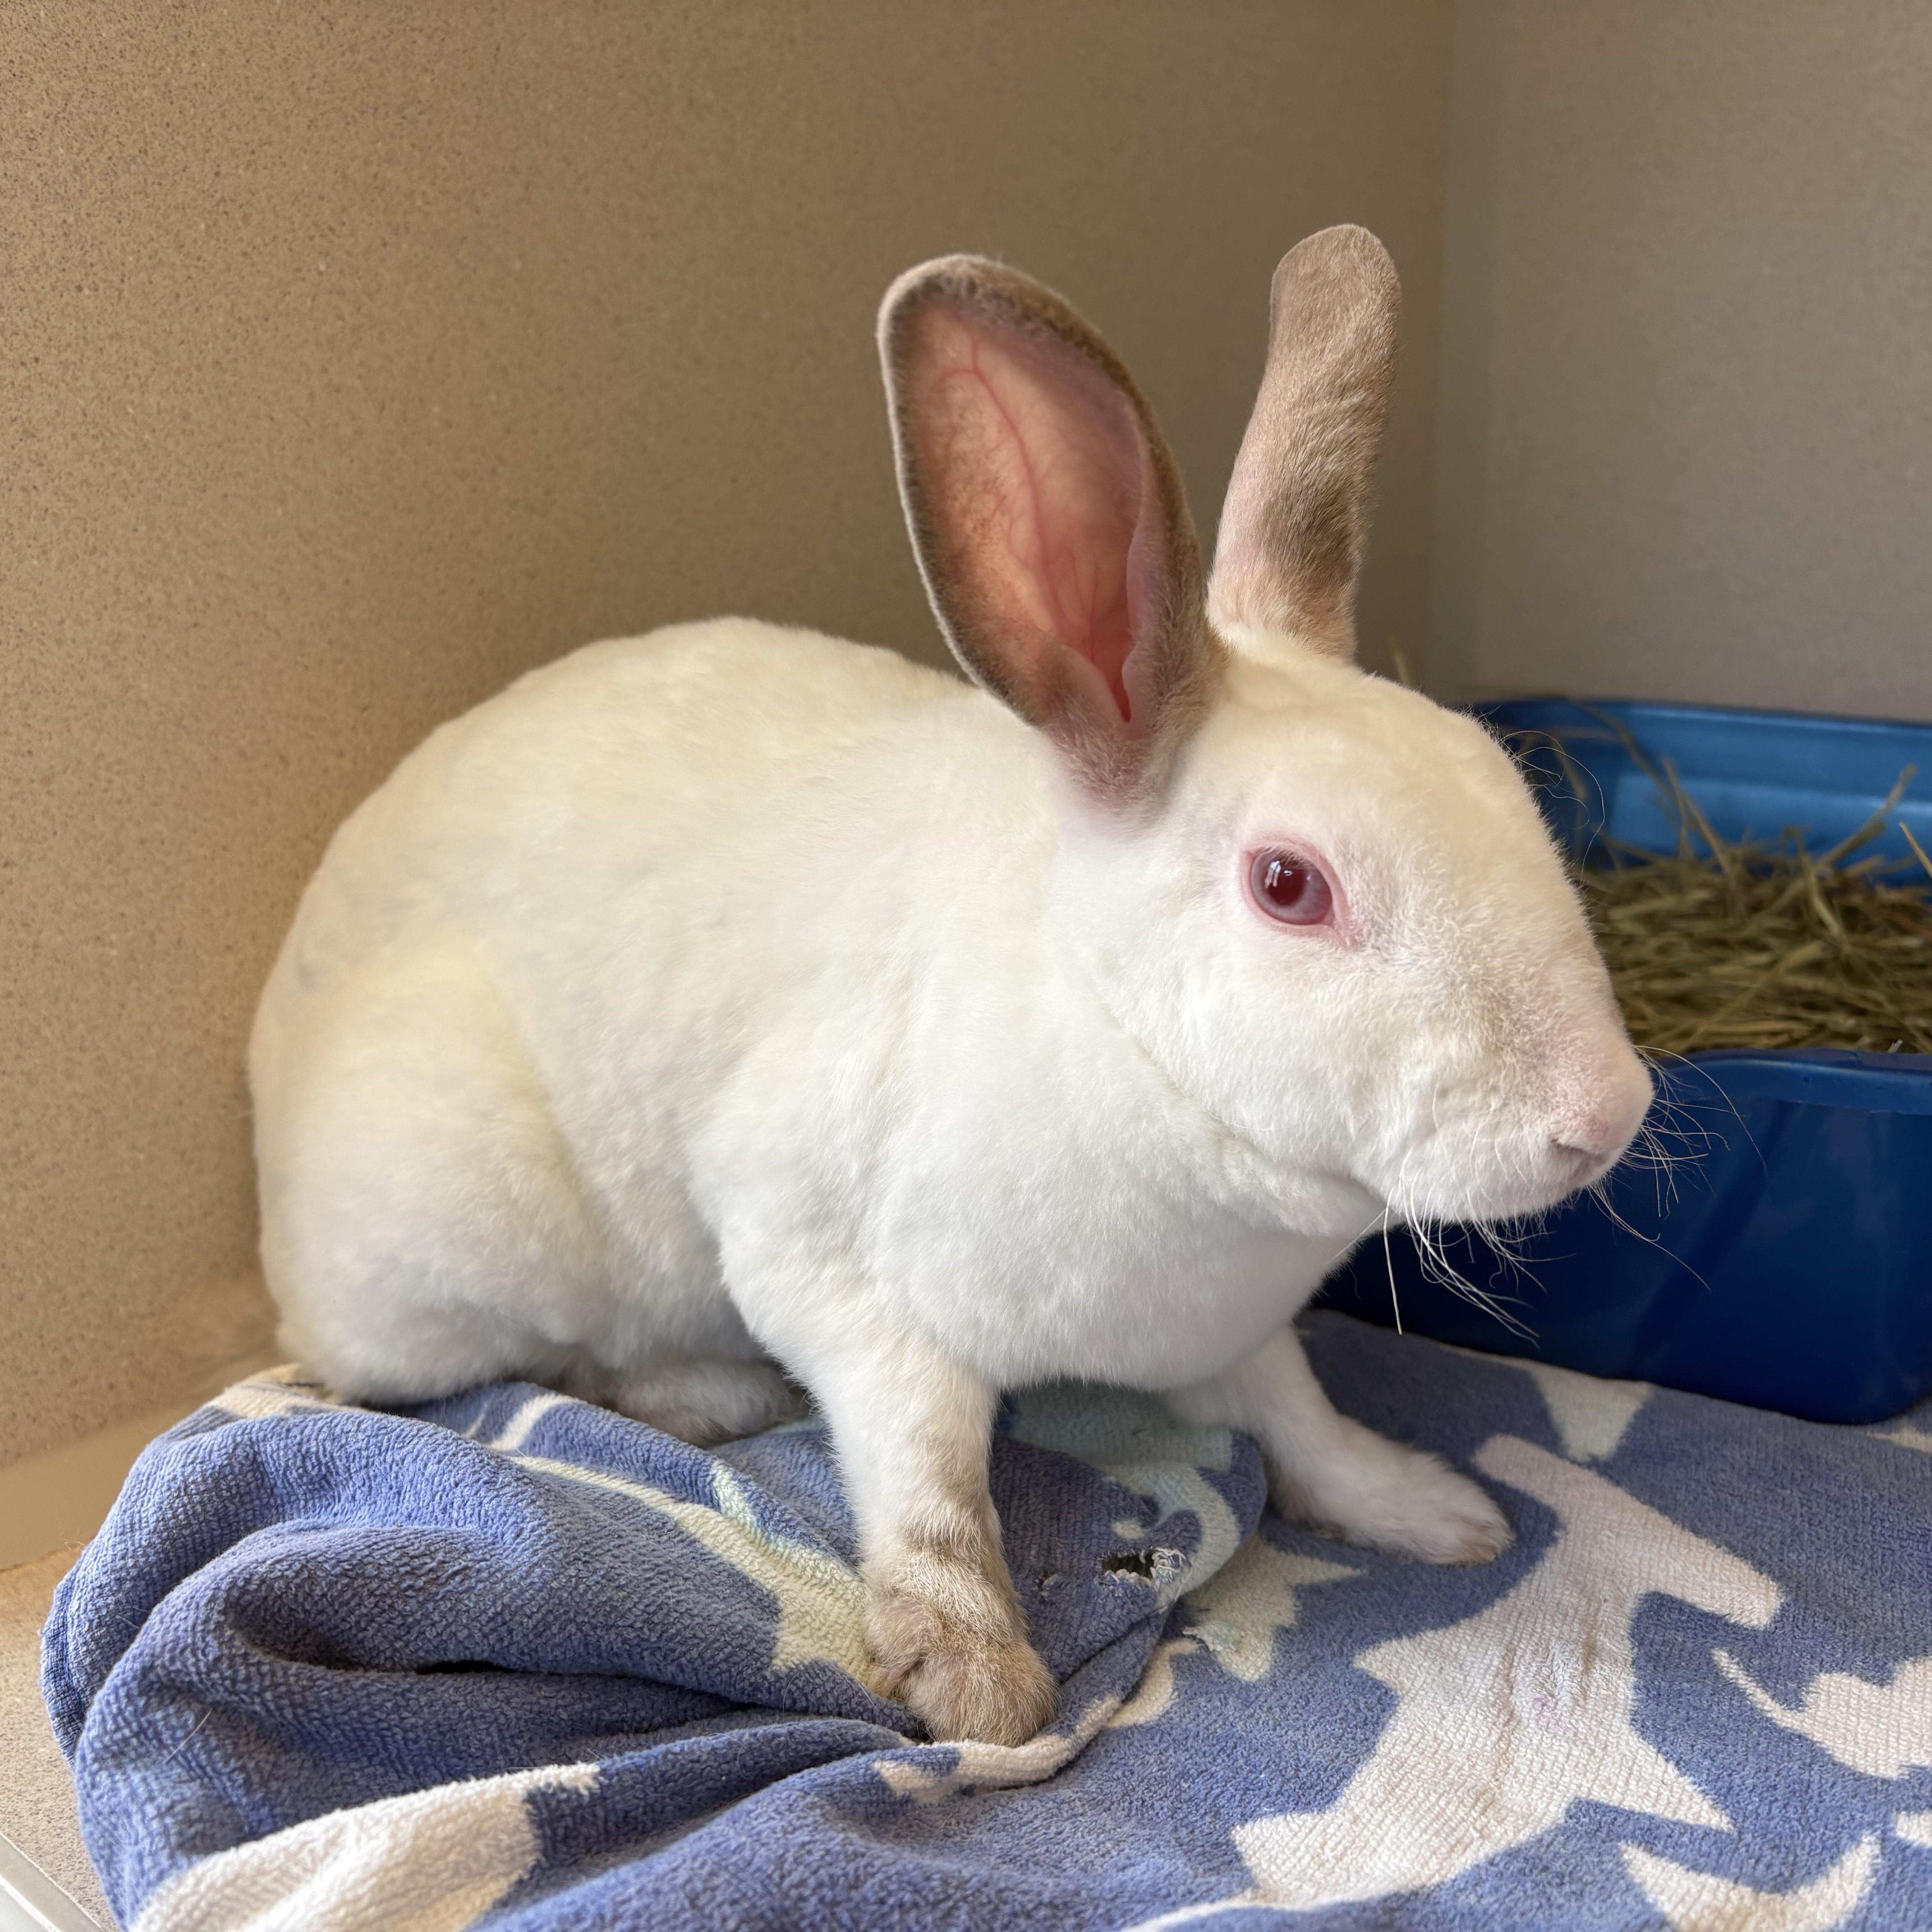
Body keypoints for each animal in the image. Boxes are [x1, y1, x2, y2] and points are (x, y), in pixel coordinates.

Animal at [250, 226, 1652, 1748]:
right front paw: (981, 1686)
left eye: (1505, 785)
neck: (1120, 1044)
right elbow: (925, 1482)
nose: (1608, 1114)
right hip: (460, 1226)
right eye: (1290, 886)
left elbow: (1297, 1418)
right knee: (478, 1370)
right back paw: (702, 1391)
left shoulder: (1240, 1333)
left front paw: (1431, 1512)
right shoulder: (837, 1277)